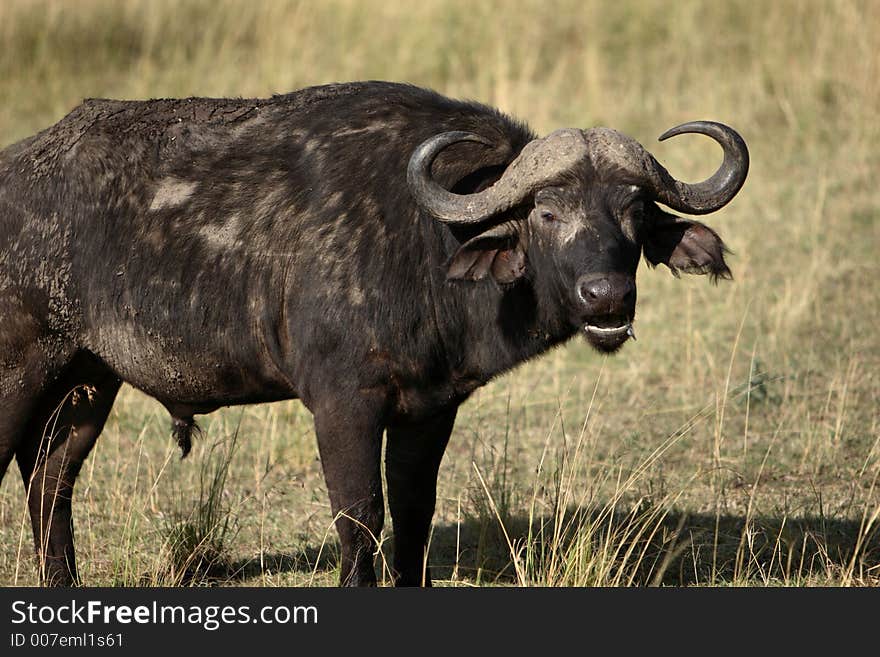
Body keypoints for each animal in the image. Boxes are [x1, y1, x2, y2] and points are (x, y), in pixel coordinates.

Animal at [0, 80, 748, 584]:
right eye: (547, 212)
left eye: (634, 208)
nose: (607, 294)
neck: (423, 240)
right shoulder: (343, 406)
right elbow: (360, 520)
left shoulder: (430, 409)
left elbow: (414, 514)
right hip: (21, 375)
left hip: (86, 382)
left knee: (49, 483)